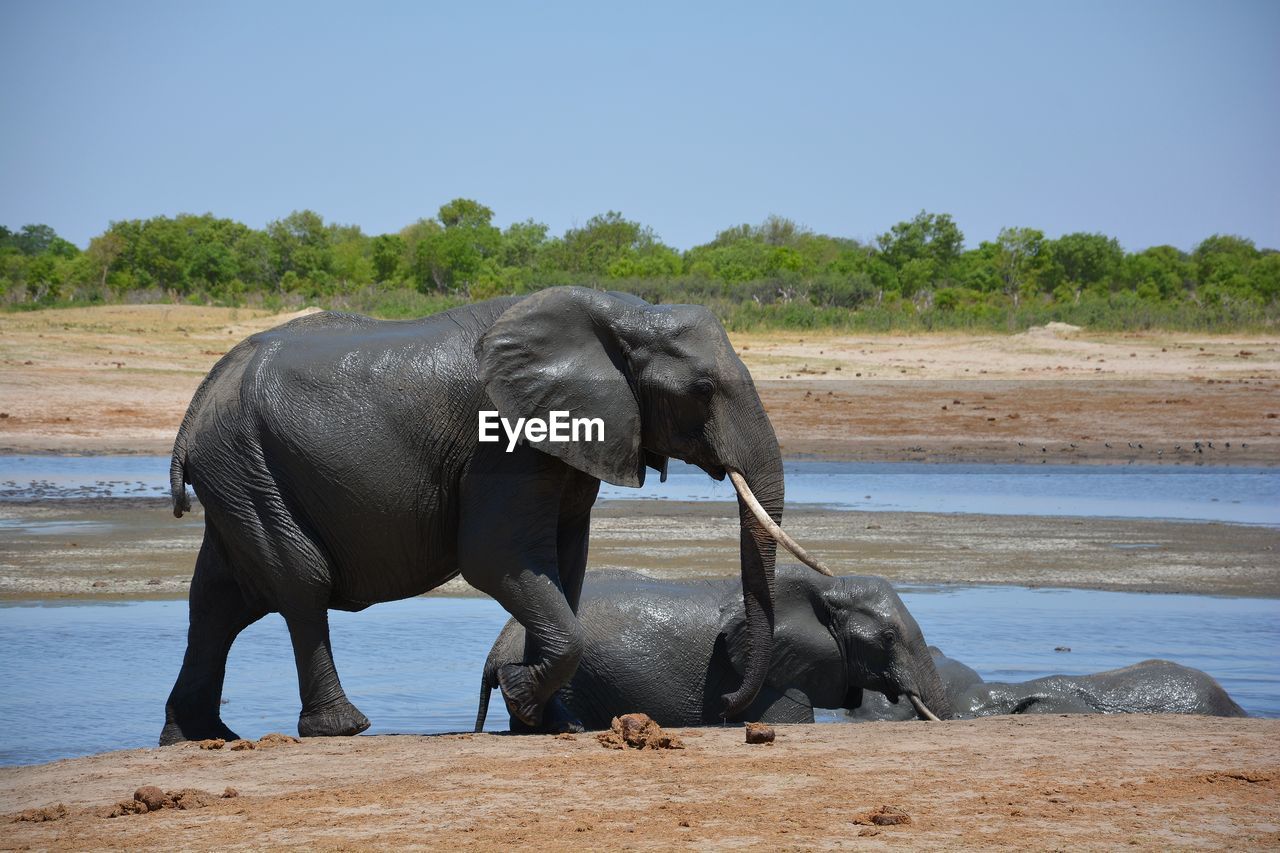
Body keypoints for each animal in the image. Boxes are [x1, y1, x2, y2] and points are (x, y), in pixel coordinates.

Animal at [160, 284, 829, 737]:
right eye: (701, 391)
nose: (730, 710)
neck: (618, 314)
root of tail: (201, 396)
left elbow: (565, 563)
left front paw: (549, 722)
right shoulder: (502, 442)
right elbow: (495, 558)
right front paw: (523, 698)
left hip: (239, 471)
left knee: (217, 600)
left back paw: (198, 737)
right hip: (248, 464)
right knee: (300, 582)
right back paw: (342, 727)